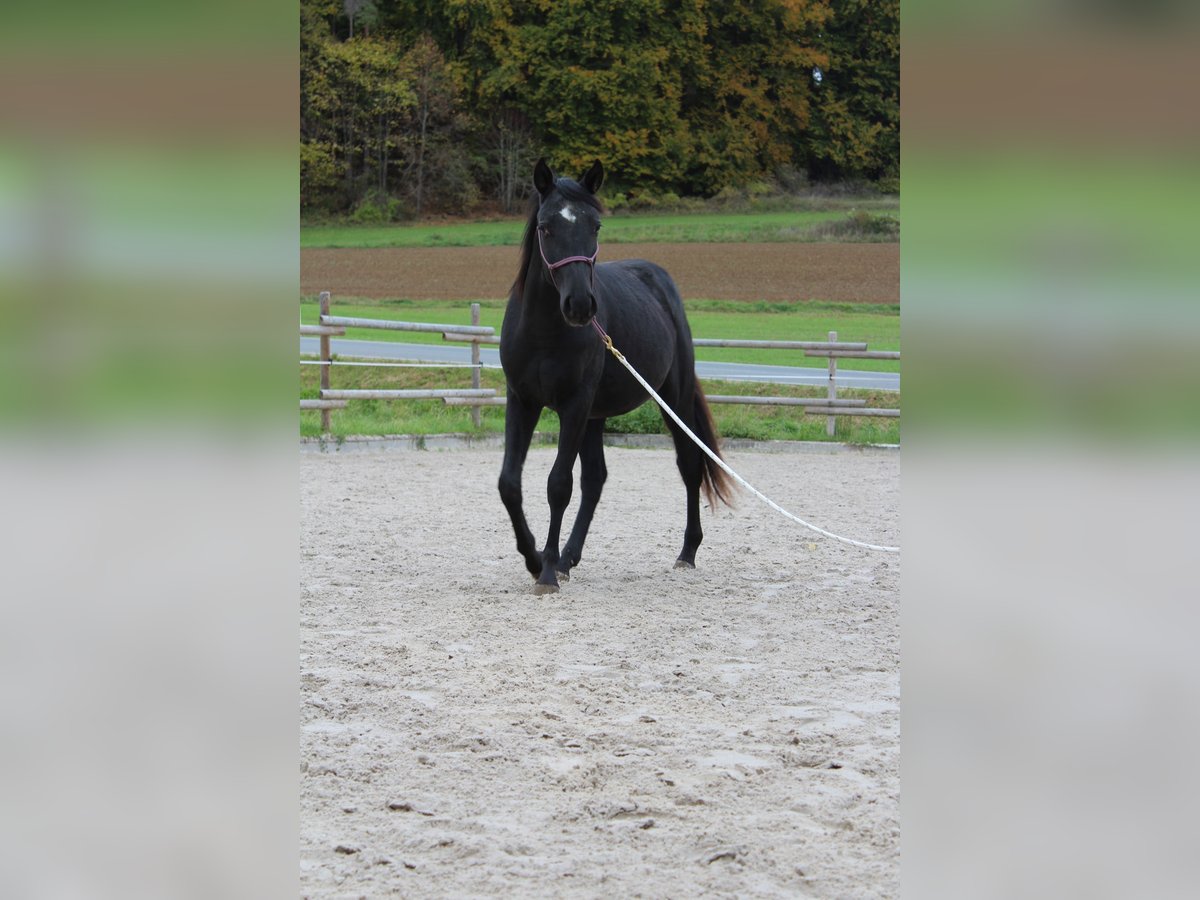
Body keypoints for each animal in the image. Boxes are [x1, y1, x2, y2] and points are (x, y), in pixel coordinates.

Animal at [498, 158, 732, 594]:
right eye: (546, 226)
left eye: (595, 226)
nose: (579, 305)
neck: (543, 331)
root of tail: (658, 279)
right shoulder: (522, 401)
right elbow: (510, 483)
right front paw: (535, 560)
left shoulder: (574, 405)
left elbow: (558, 485)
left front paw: (547, 572)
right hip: (595, 415)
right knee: (595, 479)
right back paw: (569, 558)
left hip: (670, 400)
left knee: (689, 465)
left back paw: (687, 552)